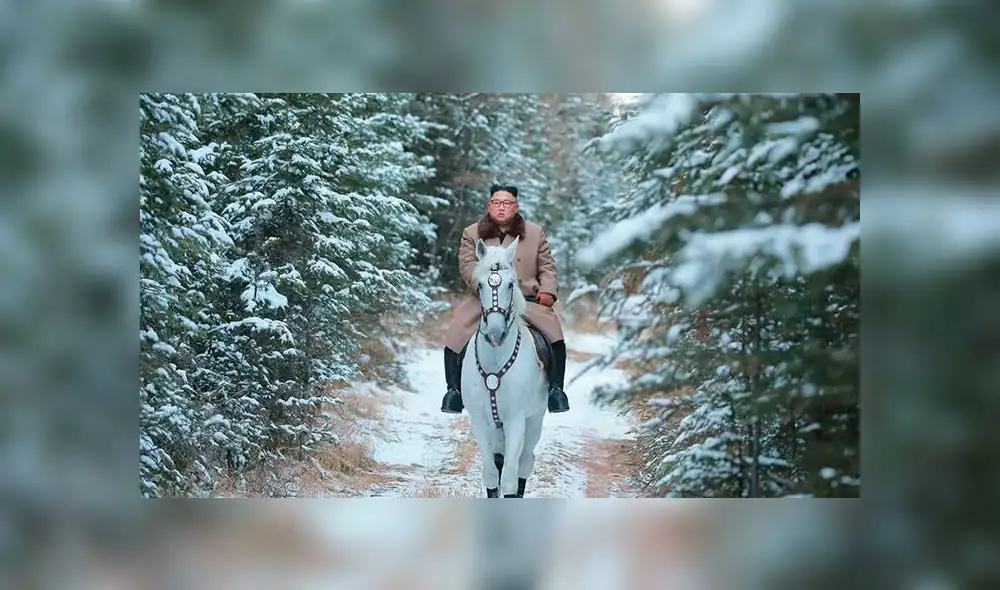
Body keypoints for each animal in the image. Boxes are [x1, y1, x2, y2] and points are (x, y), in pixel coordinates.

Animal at [461, 237, 549, 498]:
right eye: (480, 285)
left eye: (510, 285)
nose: (495, 333)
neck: (496, 359)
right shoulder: (480, 421)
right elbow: (491, 473)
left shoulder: (516, 420)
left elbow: (510, 479)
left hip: (534, 419)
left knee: (525, 462)